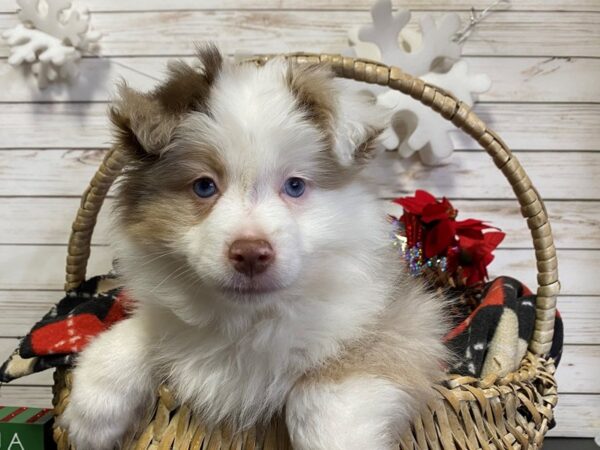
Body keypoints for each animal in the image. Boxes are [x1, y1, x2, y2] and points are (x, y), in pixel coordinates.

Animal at [61, 46, 448, 450]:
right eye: (204, 186)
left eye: (295, 186)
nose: (250, 254)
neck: (248, 321)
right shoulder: (167, 320)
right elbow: (136, 332)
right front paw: (91, 413)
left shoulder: (403, 323)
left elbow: (321, 396)